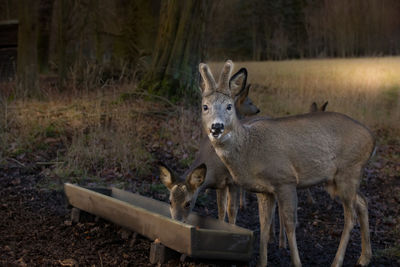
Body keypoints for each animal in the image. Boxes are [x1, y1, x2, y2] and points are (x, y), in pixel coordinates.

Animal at [159, 80, 260, 225]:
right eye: (170, 202)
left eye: (188, 203)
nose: (177, 221)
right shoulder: (220, 183)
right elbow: (221, 209)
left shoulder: (232, 182)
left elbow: (231, 209)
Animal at [198, 60, 374, 267]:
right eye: (205, 106)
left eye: (229, 106)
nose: (217, 127)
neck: (250, 149)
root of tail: (372, 138)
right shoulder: (264, 190)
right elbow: (264, 226)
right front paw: (262, 262)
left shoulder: (285, 180)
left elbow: (290, 226)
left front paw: (296, 262)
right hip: (336, 179)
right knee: (362, 202)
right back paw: (364, 258)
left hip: (349, 171)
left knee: (350, 216)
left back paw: (337, 261)